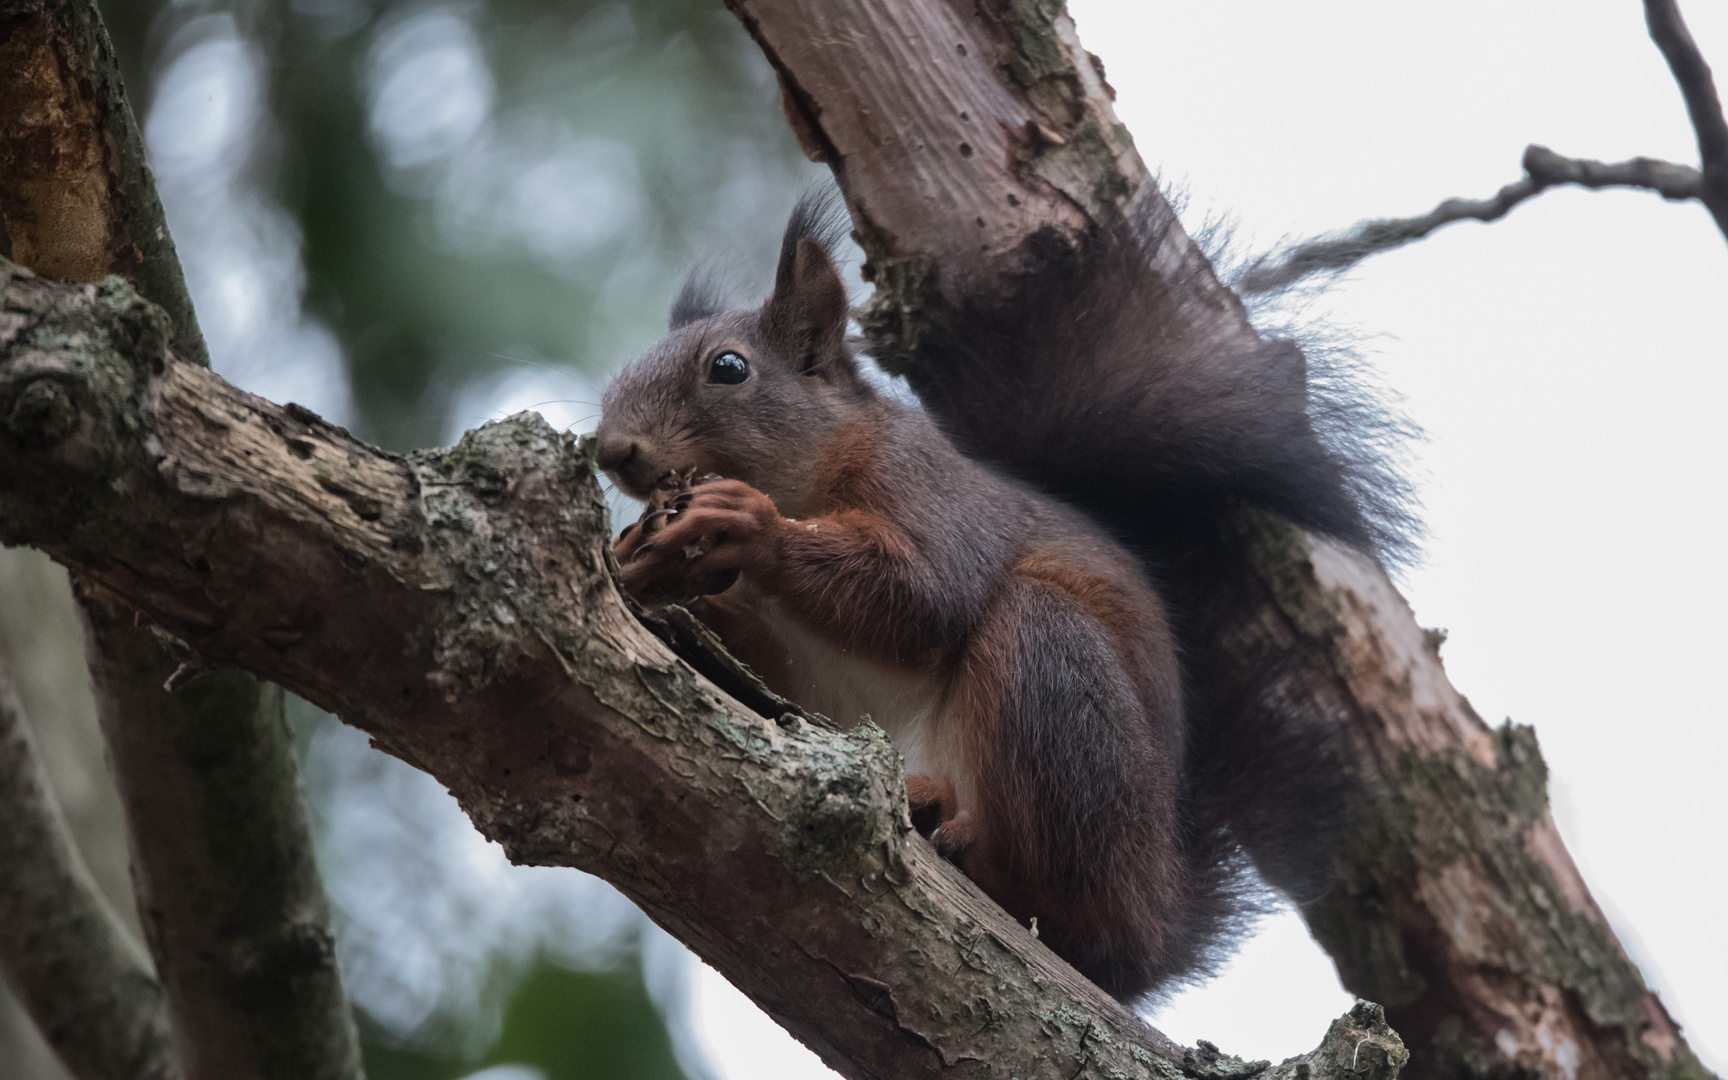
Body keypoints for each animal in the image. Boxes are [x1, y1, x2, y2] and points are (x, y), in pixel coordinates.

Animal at [587, 189, 1410, 995]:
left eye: (729, 368)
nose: (613, 450)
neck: (808, 479)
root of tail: (1158, 916)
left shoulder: (926, 491)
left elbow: (924, 598)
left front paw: (749, 524)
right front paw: (645, 565)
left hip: (1055, 683)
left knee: (1071, 904)